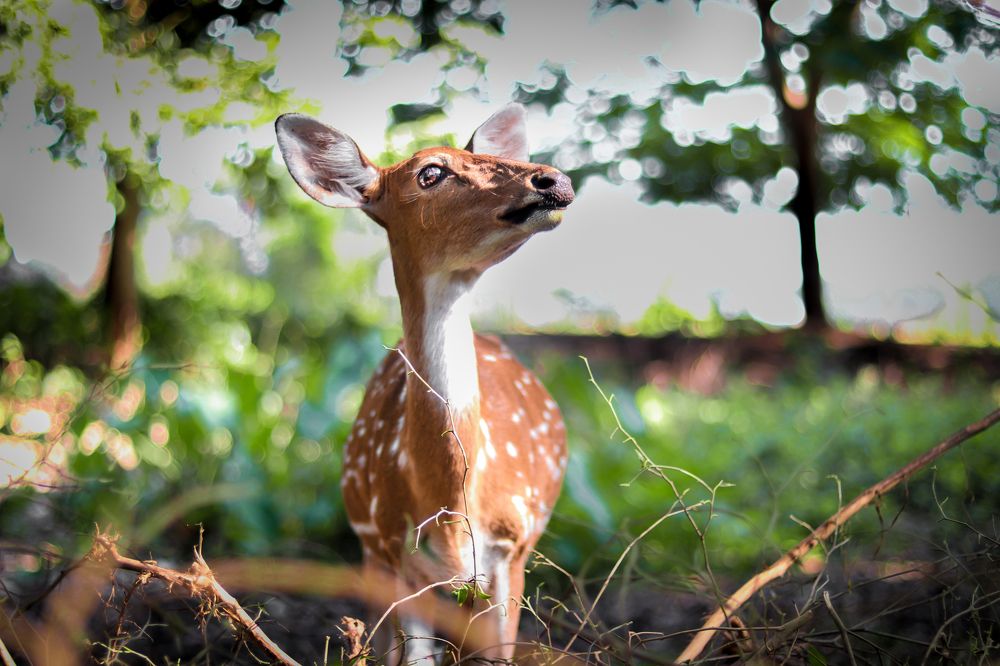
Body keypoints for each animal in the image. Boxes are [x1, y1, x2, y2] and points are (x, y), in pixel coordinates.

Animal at [275, 104, 574, 663]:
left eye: (486, 155)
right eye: (430, 172)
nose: (553, 179)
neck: (453, 507)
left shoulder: (513, 548)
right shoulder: (398, 552)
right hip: (373, 552)